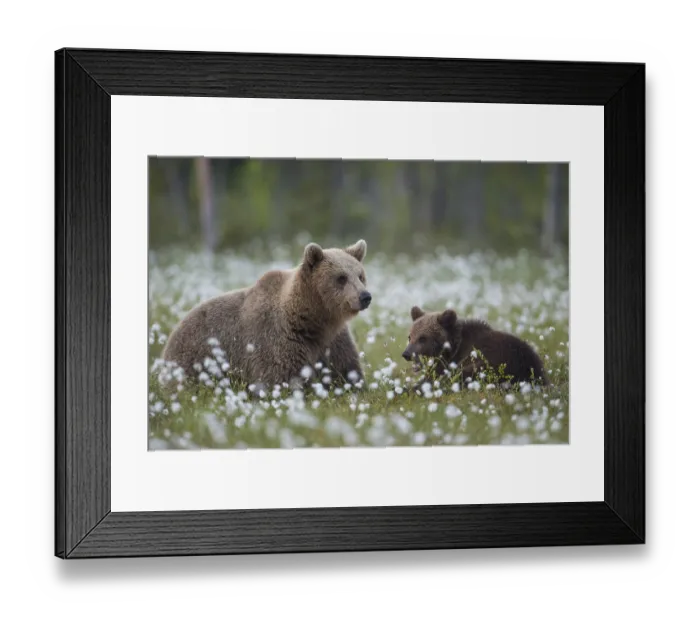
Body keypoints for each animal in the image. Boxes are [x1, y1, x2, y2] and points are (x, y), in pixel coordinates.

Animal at [161, 240, 372, 390]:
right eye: (341, 278)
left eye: (360, 275)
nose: (365, 296)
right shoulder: (276, 339)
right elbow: (279, 379)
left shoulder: (333, 342)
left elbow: (347, 372)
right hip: (195, 358)